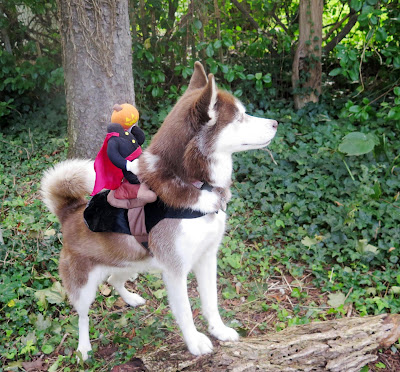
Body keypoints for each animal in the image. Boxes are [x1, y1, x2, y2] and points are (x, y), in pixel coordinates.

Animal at [41, 62, 278, 362]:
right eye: (239, 118)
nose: (276, 123)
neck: (194, 182)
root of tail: (70, 210)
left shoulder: (207, 257)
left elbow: (211, 302)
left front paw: (219, 330)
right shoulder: (175, 270)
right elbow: (186, 312)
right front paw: (195, 342)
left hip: (133, 262)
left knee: (115, 278)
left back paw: (131, 298)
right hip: (83, 286)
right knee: (82, 316)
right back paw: (84, 348)